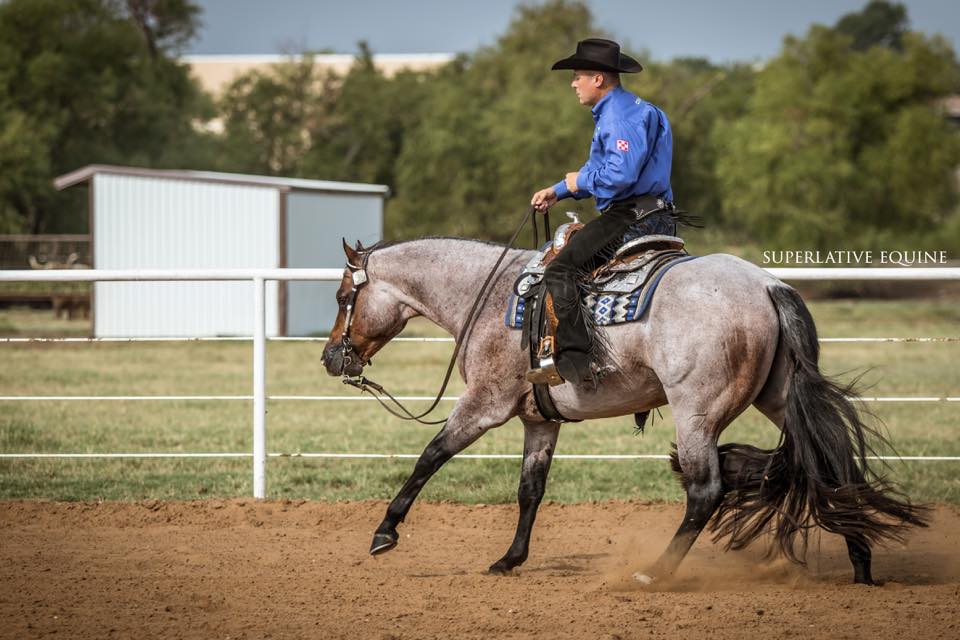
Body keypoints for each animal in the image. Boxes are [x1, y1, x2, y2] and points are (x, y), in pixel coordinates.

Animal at [322, 236, 928, 584]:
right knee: (831, 467)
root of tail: (768, 285)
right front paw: (510, 559)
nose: (331, 357)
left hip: (696, 413)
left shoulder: (484, 405)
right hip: (778, 399)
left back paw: (654, 573)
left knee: (706, 490)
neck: (489, 296)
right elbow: (529, 490)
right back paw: (862, 567)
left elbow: (430, 455)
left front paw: (385, 533)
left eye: (342, 297)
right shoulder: (540, 422)